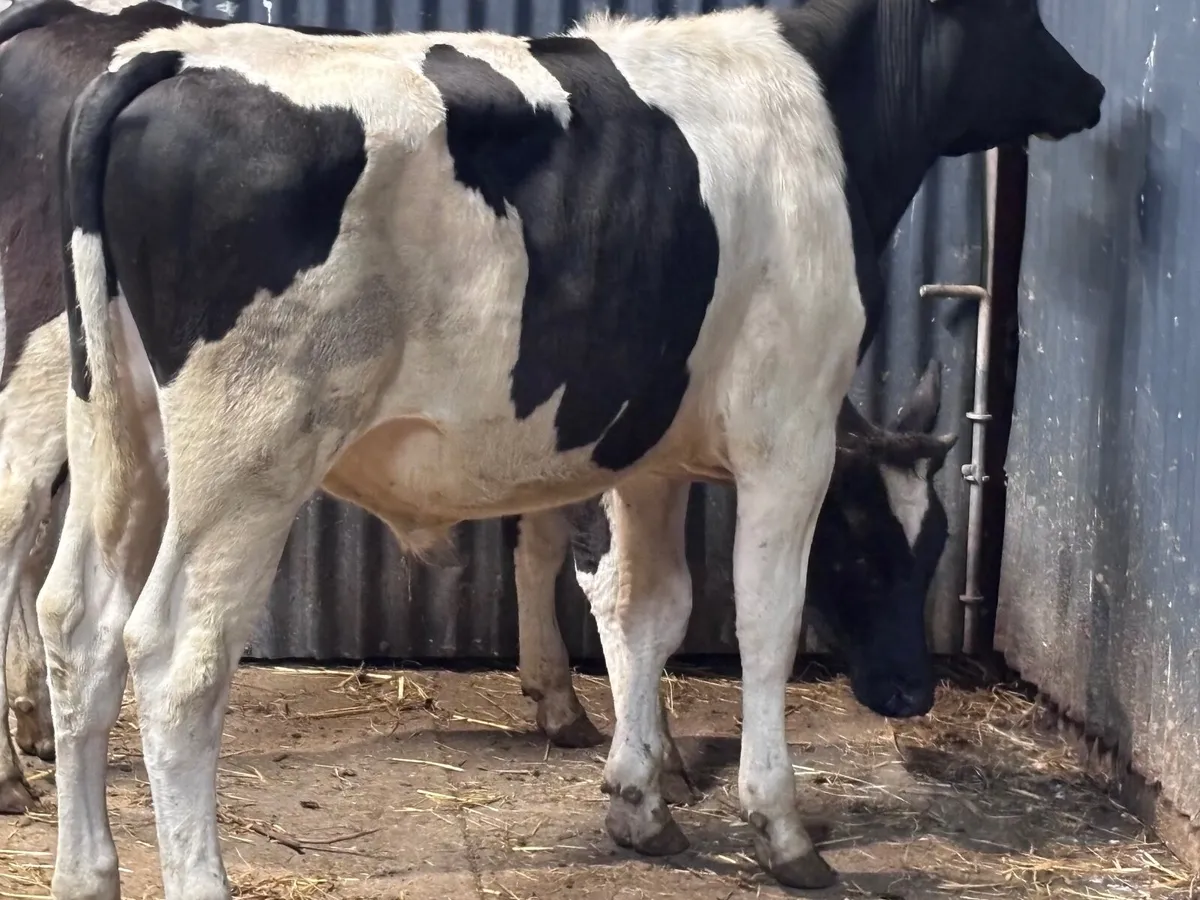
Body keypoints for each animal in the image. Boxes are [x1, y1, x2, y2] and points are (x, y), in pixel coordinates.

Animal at [44, 0, 1100, 896]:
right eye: (869, 551)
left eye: (936, 544)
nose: (1088, 89)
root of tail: (171, 55)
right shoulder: (788, 433)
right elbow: (763, 622)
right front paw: (780, 828)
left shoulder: (653, 455)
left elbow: (648, 609)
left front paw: (640, 805)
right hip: (249, 453)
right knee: (175, 657)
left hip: (117, 430)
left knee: (77, 623)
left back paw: (84, 872)